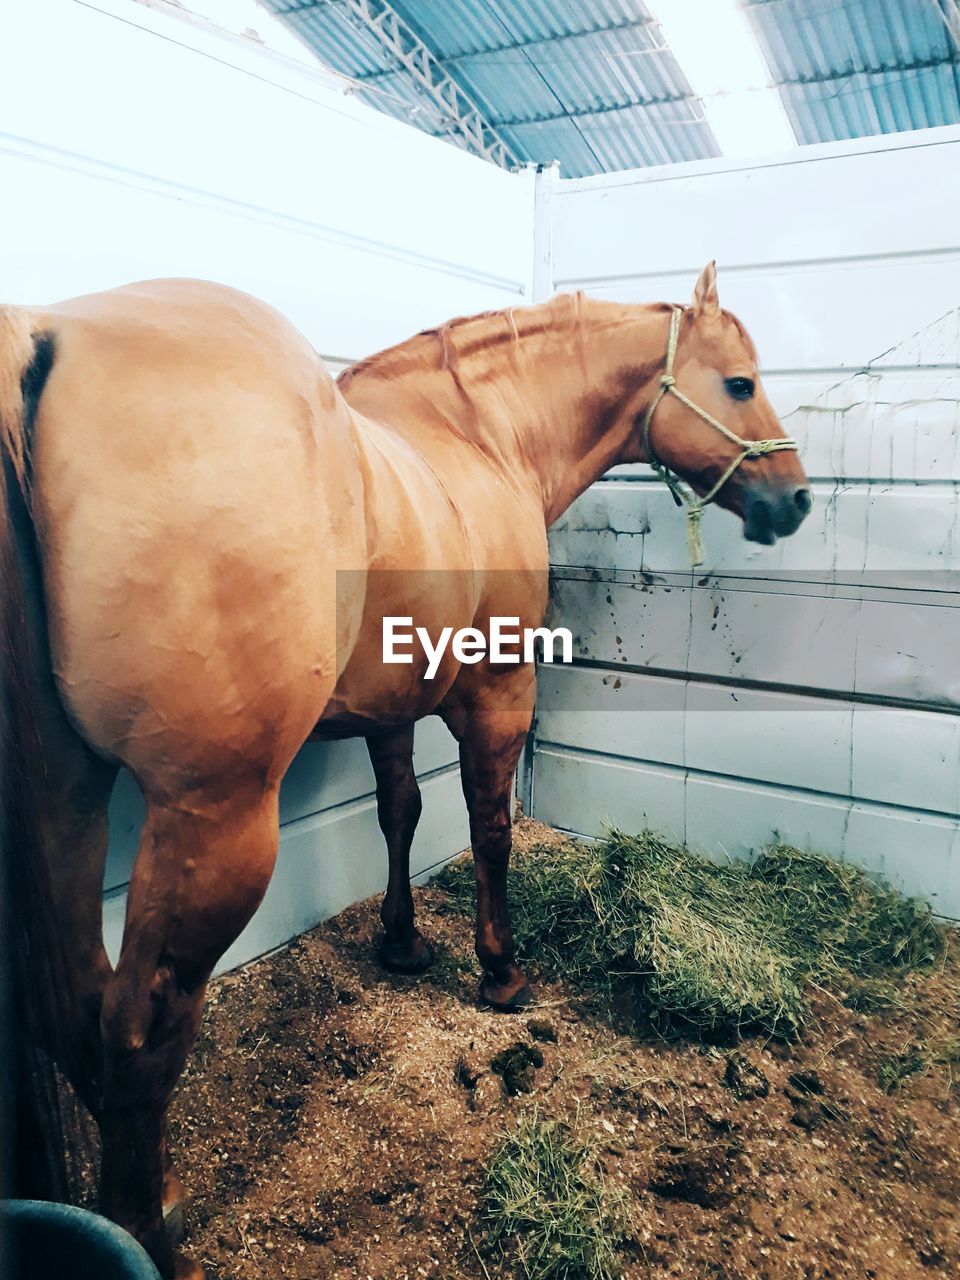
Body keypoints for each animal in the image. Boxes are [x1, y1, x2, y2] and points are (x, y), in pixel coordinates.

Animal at [0, 262, 814, 1280]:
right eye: (740, 383)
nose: (796, 498)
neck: (479, 438)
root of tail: (43, 339)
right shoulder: (499, 693)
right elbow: (487, 829)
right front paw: (500, 972)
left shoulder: (389, 709)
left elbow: (400, 811)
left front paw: (402, 943)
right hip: (211, 821)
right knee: (139, 1028)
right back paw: (151, 1233)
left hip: (64, 809)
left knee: (75, 1006)